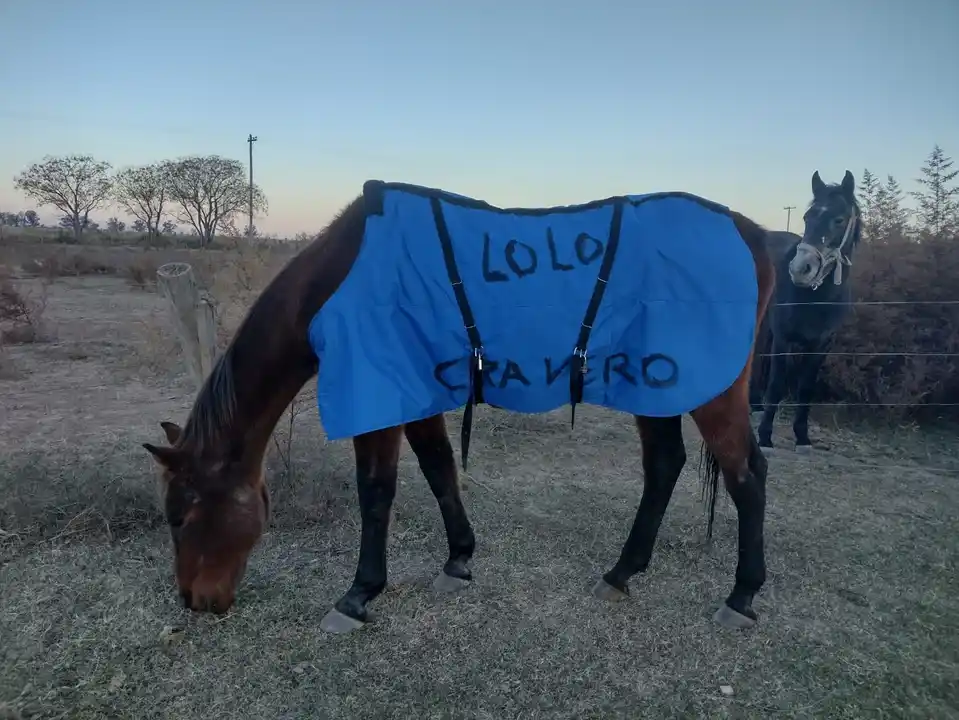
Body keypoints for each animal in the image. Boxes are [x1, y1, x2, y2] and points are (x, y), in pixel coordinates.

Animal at [142, 181, 775, 634]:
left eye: (180, 517)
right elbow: (439, 468)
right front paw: (459, 561)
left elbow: (376, 490)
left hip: (708, 392)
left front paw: (358, 595)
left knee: (746, 474)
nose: (194, 601)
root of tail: (755, 236)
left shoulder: (378, 394)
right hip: (655, 387)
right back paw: (621, 573)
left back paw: (741, 595)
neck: (347, 276)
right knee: (665, 465)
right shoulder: (417, 394)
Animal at [750, 170, 861, 453]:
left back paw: (754, 404)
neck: (815, 299)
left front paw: (802, 437)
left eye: (839, 219)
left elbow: (806, 388)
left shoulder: (822, 344)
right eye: (807, 218)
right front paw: (765, 436)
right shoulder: (784, 339)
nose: (801, 269)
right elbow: (776, 385)